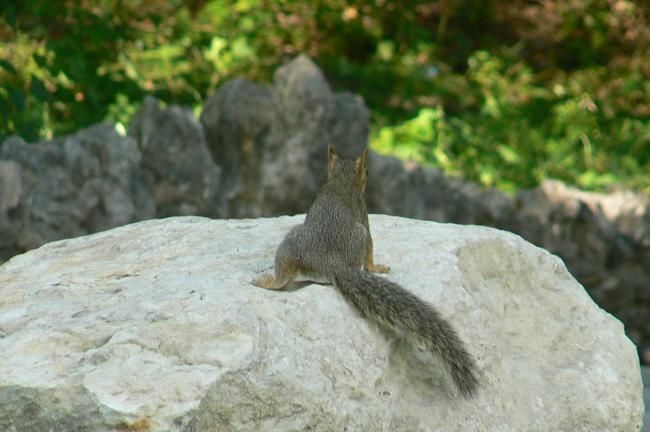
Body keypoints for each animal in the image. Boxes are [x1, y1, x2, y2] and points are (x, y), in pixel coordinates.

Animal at [252, 145, 476, 398]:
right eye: (367, 170)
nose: (369, 176)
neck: (340, 180)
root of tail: (330, 263)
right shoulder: (364, 215)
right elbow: (371, 248)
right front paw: (377, 267)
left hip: (290, 244)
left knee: (285, 274)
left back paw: (269, 282)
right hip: (347, 236)